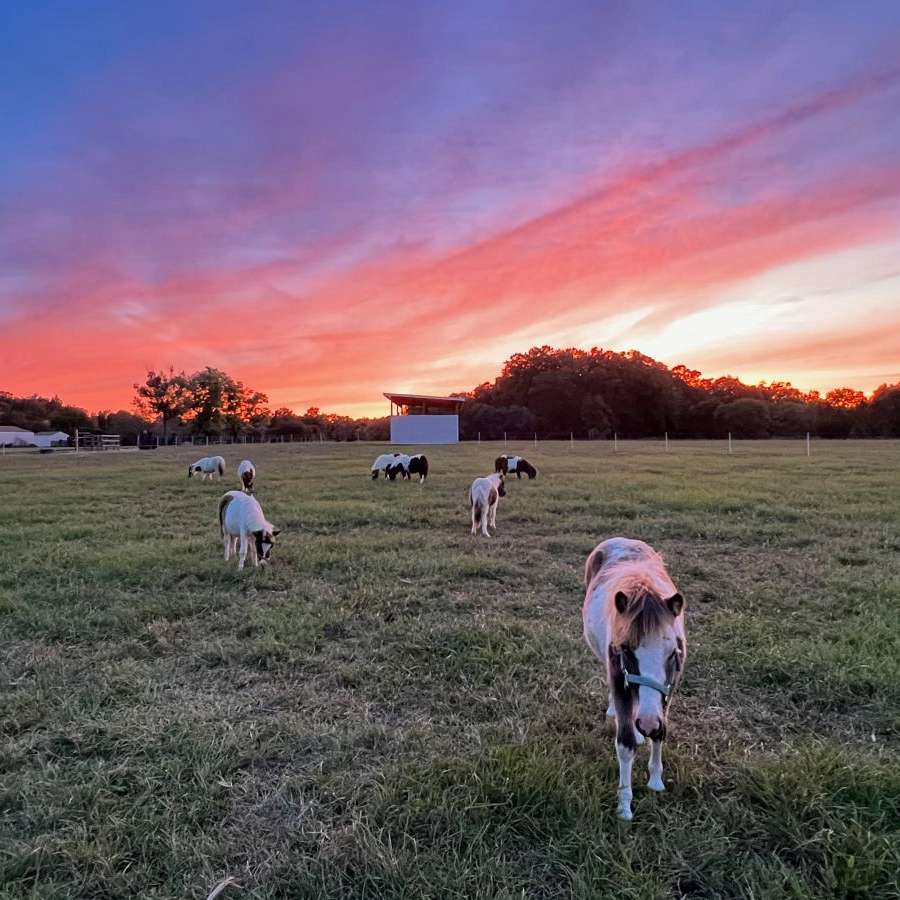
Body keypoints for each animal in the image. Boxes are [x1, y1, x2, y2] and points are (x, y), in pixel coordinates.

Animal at [580, 536, 684, 820]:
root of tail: (620, 540)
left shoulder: (669, 687)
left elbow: (661, 731)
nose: (647, 723)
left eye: (673, 652)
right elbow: (625, 743)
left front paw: (656, 781)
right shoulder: (620, 678)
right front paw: (624, 804)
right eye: (626, 650)